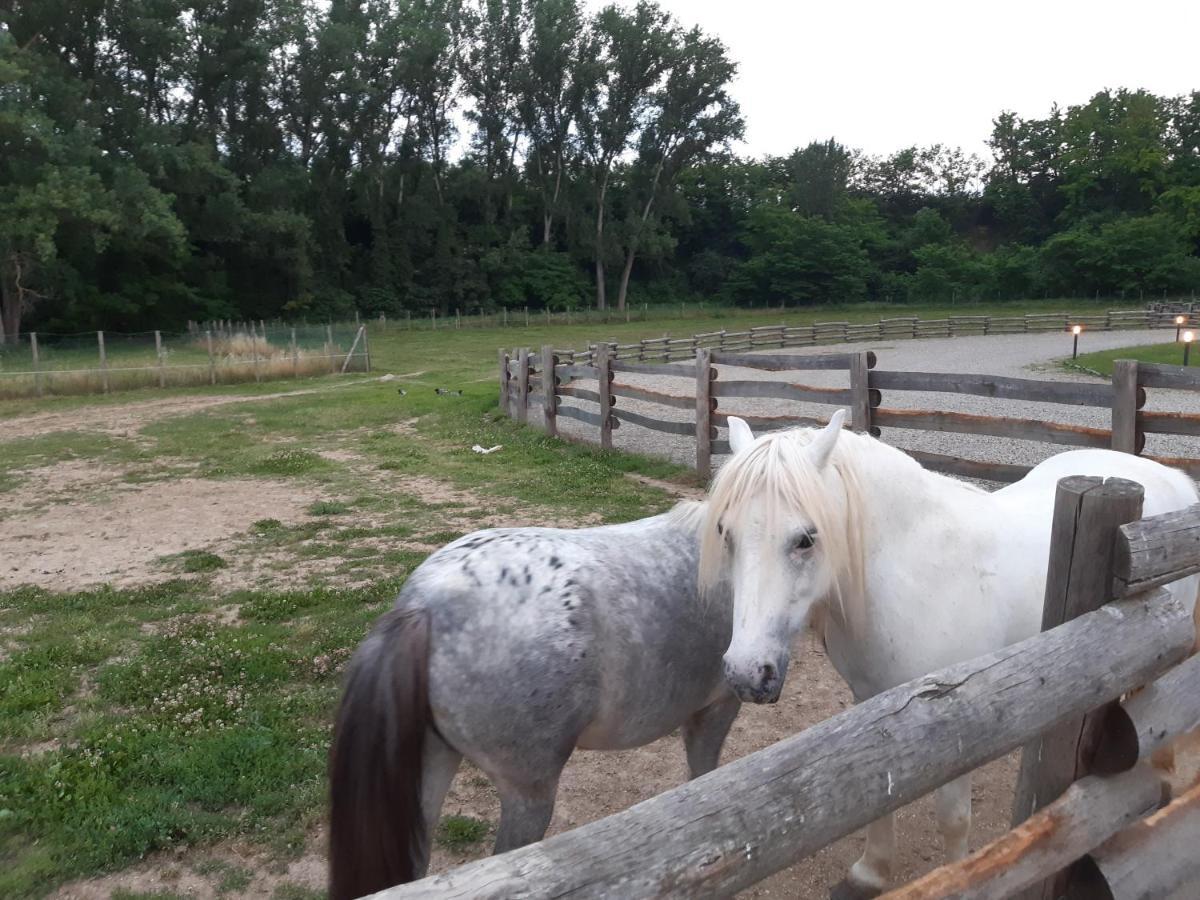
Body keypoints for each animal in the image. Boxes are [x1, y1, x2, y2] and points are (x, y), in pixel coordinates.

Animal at [700, 412, 1195, 897]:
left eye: (806, 538)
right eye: (725, 532)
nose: (746, 673)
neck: (914, 571)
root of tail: (1168, 477)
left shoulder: (957, 715)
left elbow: (954, 819)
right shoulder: (870, 701)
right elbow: (879, 795)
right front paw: (870, 873)